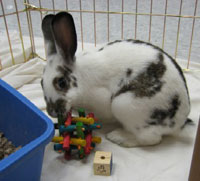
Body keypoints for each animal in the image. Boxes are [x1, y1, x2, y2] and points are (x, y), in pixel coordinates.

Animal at [40, 10, 191, 147]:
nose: (51, 112)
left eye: (61, 83)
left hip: (124, 104)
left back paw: (118, 137)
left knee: (150, 139)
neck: (81, 78)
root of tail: (179, 123)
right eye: (41, 83)